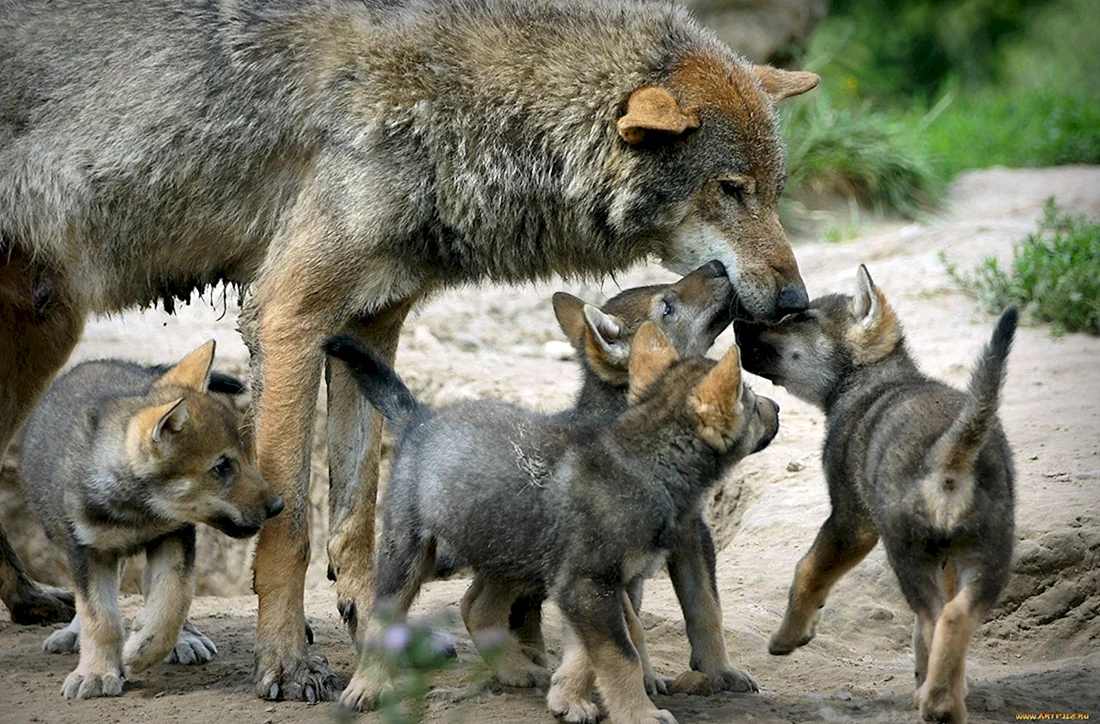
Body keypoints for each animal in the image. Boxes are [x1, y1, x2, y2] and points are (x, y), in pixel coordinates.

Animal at [20, 342, 284, 699]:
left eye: (247, 457)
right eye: (221, 467)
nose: (278, 506)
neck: (138, 511)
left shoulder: (175, 535)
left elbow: (173, 598)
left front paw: (145, 649)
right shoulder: (87, 551)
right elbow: (99, 617)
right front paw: (96, 672)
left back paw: (184, 638)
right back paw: (74, 633)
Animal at [324, 322, 778, 721]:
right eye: (752, 399)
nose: (777, 407)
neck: (645, 464)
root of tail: (420, 418)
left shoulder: (597, 584)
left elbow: (594, 650)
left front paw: (568, 698)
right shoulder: (588, 584)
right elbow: (623, 654)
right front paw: (639, 714)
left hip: (511, 551)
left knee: (478, 608)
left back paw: (515, 669)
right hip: (409, 552)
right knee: (383, 620)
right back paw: (366, 688)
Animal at [734, 266, 1017, 724]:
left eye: (799, 319)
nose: (736, 324)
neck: (871, 381)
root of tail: (954, 451)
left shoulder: (851, 522)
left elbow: (807, 570)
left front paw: (788, 637)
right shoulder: (947, 560)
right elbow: (922, 638)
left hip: (908, 556)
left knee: (937, 618)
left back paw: (936, 703)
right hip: (986, 557)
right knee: (954, 618)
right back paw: (945, 700)